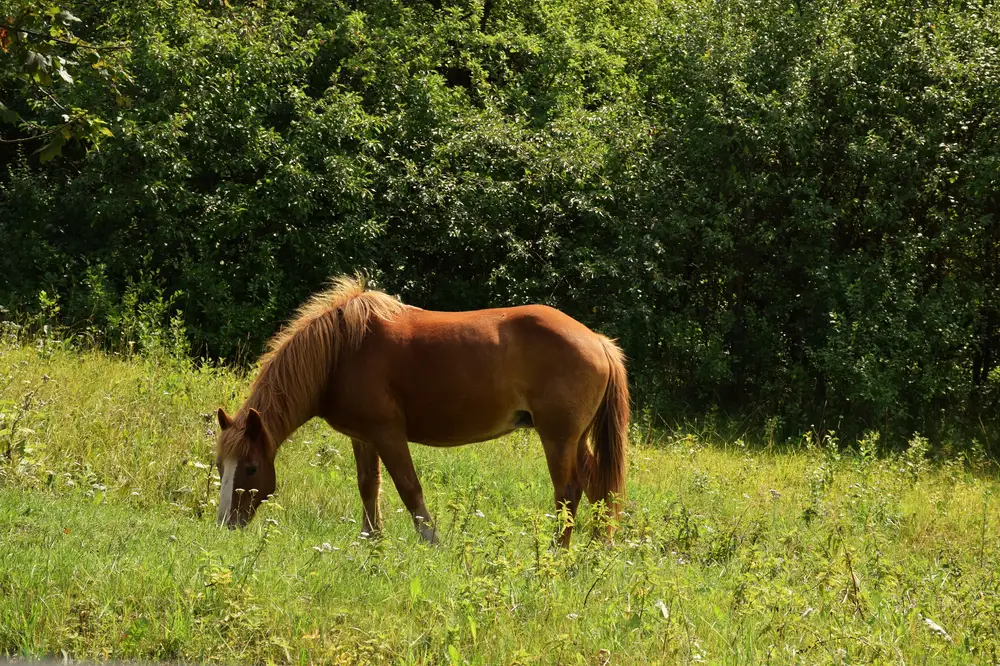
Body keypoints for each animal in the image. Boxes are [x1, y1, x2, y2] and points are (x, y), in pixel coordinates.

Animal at [214, 276, 629, 546]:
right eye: (220, 466)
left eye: (250, 468)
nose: (224, 526)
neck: (341, 353)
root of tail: (598, 340)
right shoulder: (363, 437)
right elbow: (368, 486)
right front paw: (371, 540)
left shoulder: (388, 434)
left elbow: (408, 487)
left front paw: (431, 540)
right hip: (575, 439)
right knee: (598, 486)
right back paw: (596, 548)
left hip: (557, 438)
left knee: (568, 491)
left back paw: (558, 552)